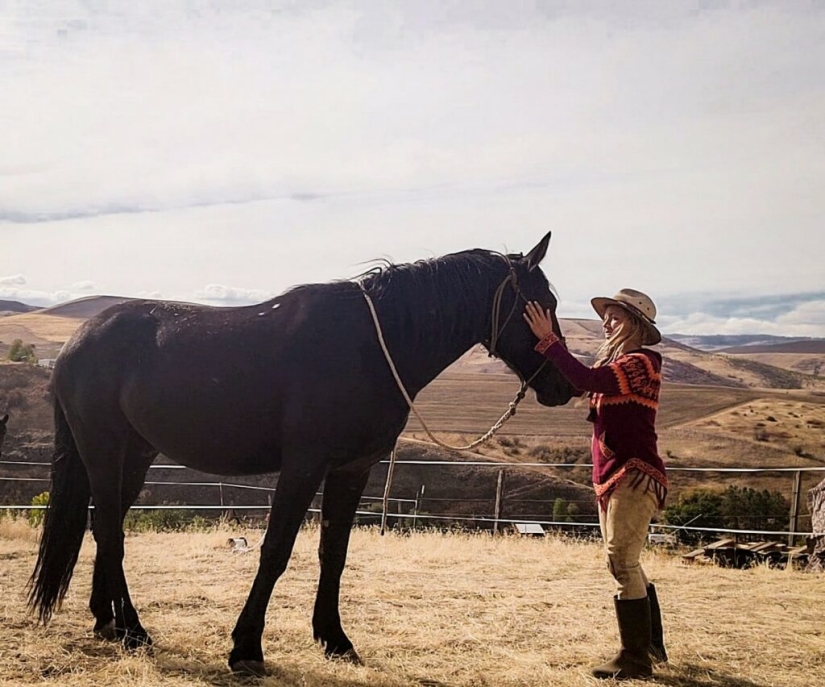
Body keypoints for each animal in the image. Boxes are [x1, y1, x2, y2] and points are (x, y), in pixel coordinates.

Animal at [30, 234, 572, 676]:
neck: (372, 346)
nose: (563, 385)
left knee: (103, 525)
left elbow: (334, 553)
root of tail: (75, 345)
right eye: (543, 303)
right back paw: (134, 630)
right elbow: (275, 551)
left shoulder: (353, 470)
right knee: (110, 530)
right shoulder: (303, 467)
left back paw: (109, 622)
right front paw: (246, 648)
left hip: (136, 457)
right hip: (103, 451)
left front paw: (335, 640)